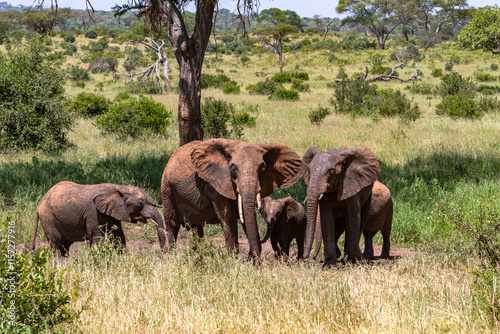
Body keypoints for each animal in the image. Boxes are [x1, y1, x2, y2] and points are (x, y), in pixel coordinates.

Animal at [33, 181, 166, 258]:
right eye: (141, 203)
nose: (163, 253)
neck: (118, 188)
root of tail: (39, 206)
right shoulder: (94, 212)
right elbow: (97, 236)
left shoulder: (114, 211)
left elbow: (118, 234)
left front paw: (121, 256)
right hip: (48, 218)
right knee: (57, 242)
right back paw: (60, 260)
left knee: (65, 244)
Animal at [160, 137, 302, 260]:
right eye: (233, 168)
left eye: (262, 167)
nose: (253, 260)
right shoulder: (216, 184)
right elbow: (227, 217)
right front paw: (232, 259)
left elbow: (245, 214)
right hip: (167, 190)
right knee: (172, 224)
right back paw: (171, 256)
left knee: (197, 229)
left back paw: (198, 252)